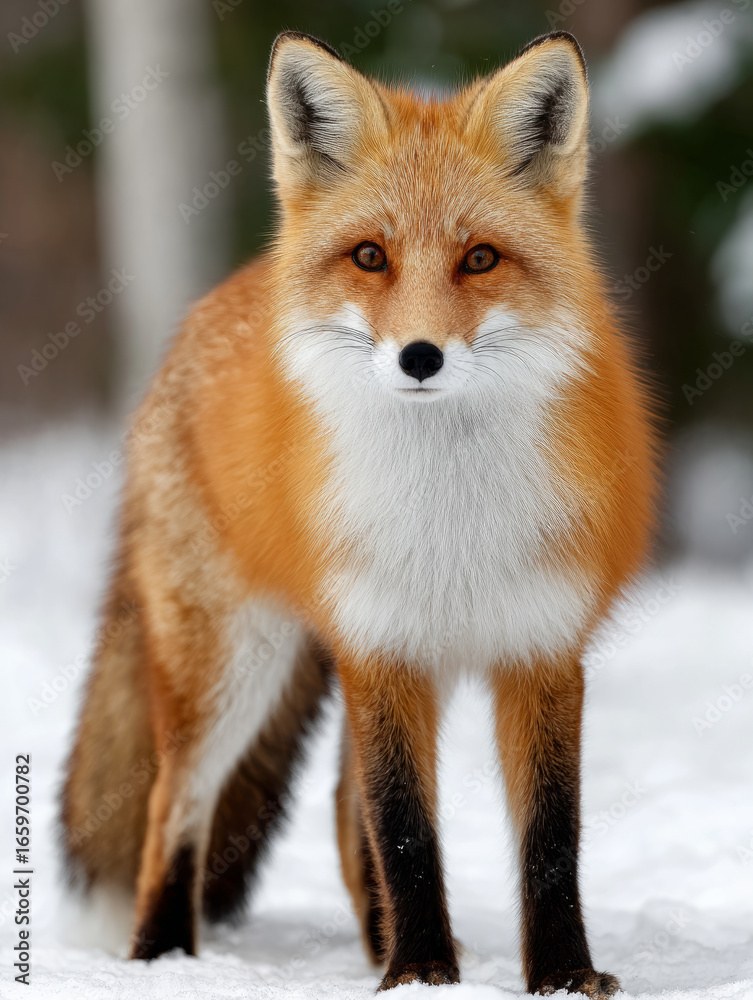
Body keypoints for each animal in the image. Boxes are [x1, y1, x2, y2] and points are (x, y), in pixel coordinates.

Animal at [61, 29, 657, 997]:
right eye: (370, 256)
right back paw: (163, 957)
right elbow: (405, 826)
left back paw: (376, 948)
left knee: (343, 814)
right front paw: (420, 976)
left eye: (479, 258)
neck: (448, 517)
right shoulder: (381, 648)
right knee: (171, 804)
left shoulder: (539, 646)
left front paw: (559, 976)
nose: (419, 356)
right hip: (231, 664)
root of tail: (218, 299)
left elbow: (547, 838)